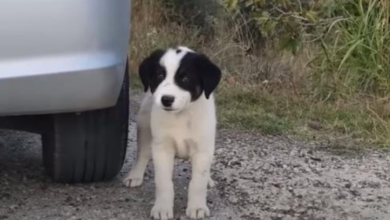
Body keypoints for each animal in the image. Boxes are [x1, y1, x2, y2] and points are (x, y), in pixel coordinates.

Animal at [123, 45, 221, 219]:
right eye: (160, 76)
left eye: (185, 78)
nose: (166, 100)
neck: (181, 116)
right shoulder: (162, 149)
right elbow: (164, 182)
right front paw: (162, 208)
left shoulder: (202, 149)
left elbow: (198, 182)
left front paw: (197, 207)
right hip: (144, 126)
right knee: (142, 154)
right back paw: (135, 175)